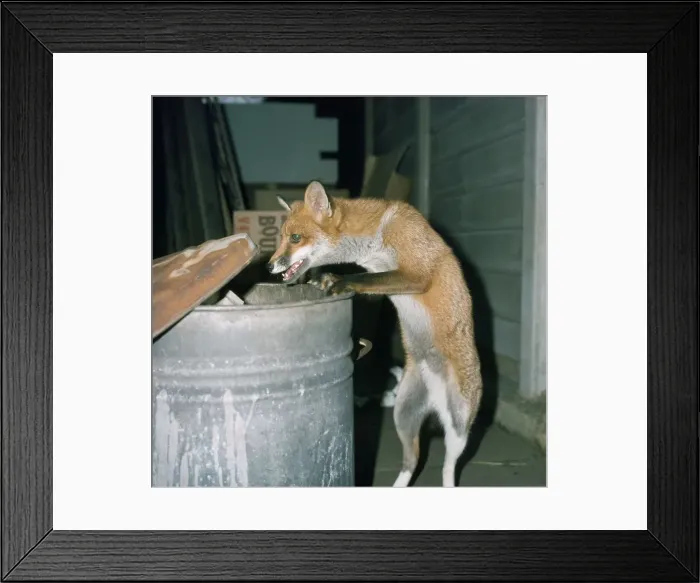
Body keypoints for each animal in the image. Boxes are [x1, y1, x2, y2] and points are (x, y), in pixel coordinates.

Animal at [267, 180, 482, 487]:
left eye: (295, 238)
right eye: (283, 237)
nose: (269, 266)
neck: (376, 234)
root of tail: (434, 400)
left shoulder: (415, 273)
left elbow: (364, 279)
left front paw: (338, 281)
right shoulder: (380, 278)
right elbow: (368, 281)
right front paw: (324, 279)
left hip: (458, 427)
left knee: (448, 468)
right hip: (402, 416)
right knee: (412, 461)